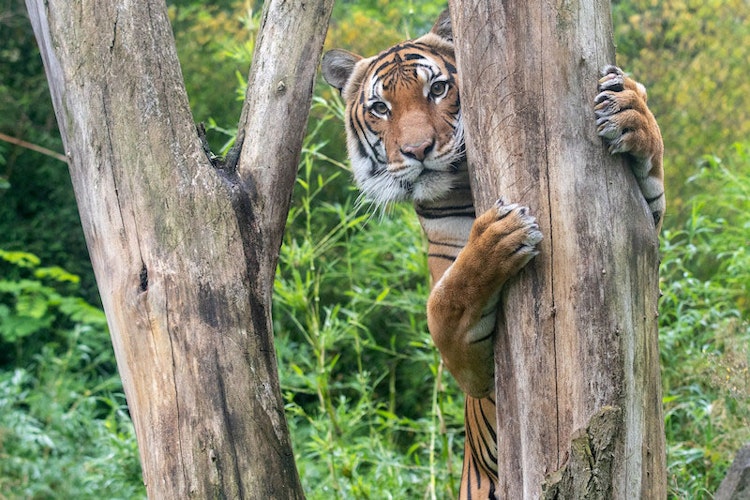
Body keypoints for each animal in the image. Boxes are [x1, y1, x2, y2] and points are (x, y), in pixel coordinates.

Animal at [320, 8, 668, 500]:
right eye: (380, 108)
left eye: (437, 89)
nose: (417, 150)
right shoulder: (473, 368)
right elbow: (445, 304)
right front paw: (501, 235)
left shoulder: (642, 231)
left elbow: (652, 186)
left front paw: (631, 110)